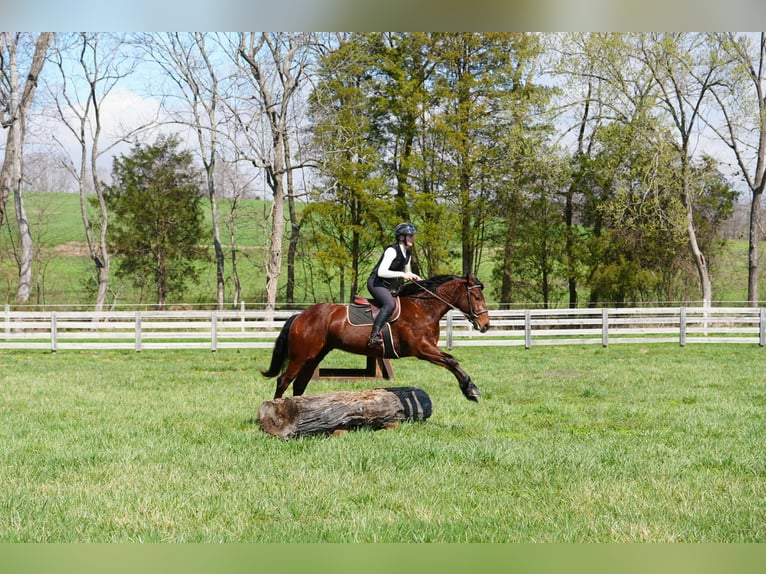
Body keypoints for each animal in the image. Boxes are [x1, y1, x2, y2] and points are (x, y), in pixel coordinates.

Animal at [261, 274, 490, 402]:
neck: (423, 308)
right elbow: (452, 360)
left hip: (314, 357)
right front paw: (471, 390)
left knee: (299, 384)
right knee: (283, 380)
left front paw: (470, 389)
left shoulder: (427, 349)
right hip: (300, 356)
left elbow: (450, 361)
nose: (485, 325)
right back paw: (276, 410)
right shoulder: (422, 349)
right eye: (476, 297)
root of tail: (300, 315)